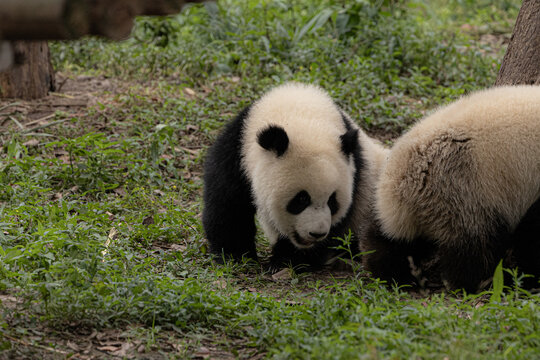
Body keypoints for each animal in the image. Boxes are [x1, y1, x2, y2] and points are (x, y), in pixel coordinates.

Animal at [202, 83, 388, 272]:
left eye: (332, 201)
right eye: (301, 199)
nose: (317, 233)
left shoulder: (356, 175)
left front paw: (287, 260)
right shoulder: (238, 149)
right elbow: (229, 204)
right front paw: (235, 256)